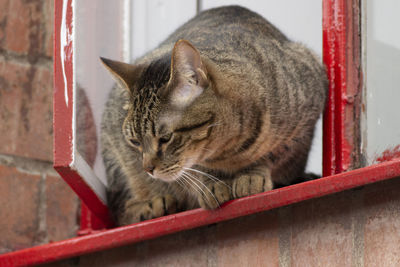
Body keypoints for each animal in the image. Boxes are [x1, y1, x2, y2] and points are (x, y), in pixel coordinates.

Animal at [100, 5, 328, 226]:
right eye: (134, 142)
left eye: (165, 139)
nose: (147, 168)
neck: (229, 150)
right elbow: (196, 169)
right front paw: (213, 182)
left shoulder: (305, 119)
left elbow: (270, 154)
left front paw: (251, 173)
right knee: (121, 208)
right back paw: (151, 205)